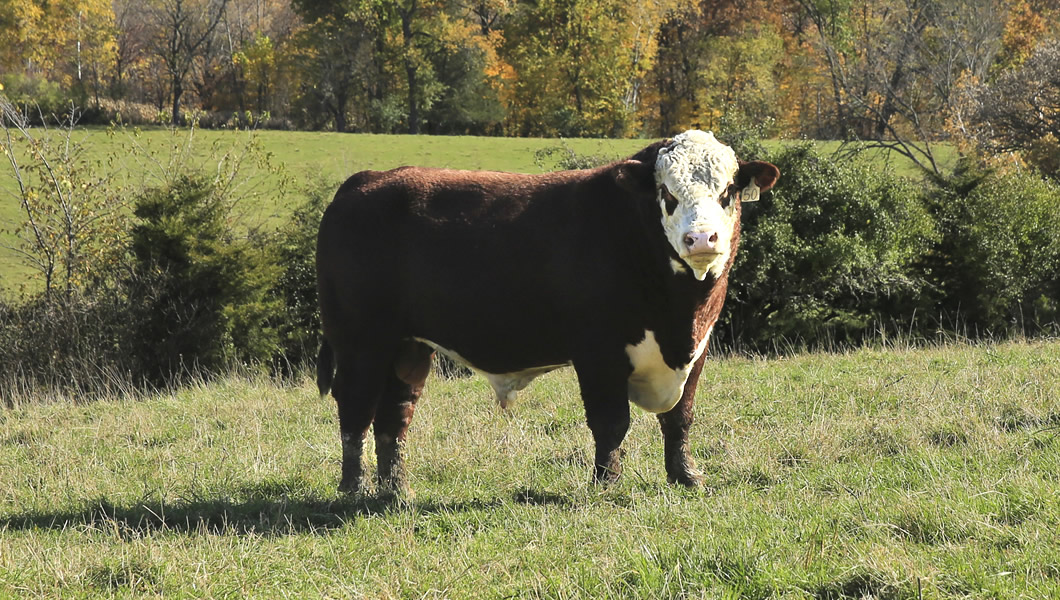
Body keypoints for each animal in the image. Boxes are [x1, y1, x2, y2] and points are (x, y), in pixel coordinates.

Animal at [313, 131, 780, 498]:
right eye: (667, 194)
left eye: (727, 192)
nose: (701, 238)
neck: (678, 315)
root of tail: (367, 181)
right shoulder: (598, 351)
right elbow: (611, 422)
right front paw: (607, 484)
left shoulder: (698, 347)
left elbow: (680, 418)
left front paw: (686, 477)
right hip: (360, 343)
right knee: (354, 409)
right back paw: (352, 488)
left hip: (407, 347)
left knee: (395, 414)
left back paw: (396, 490)